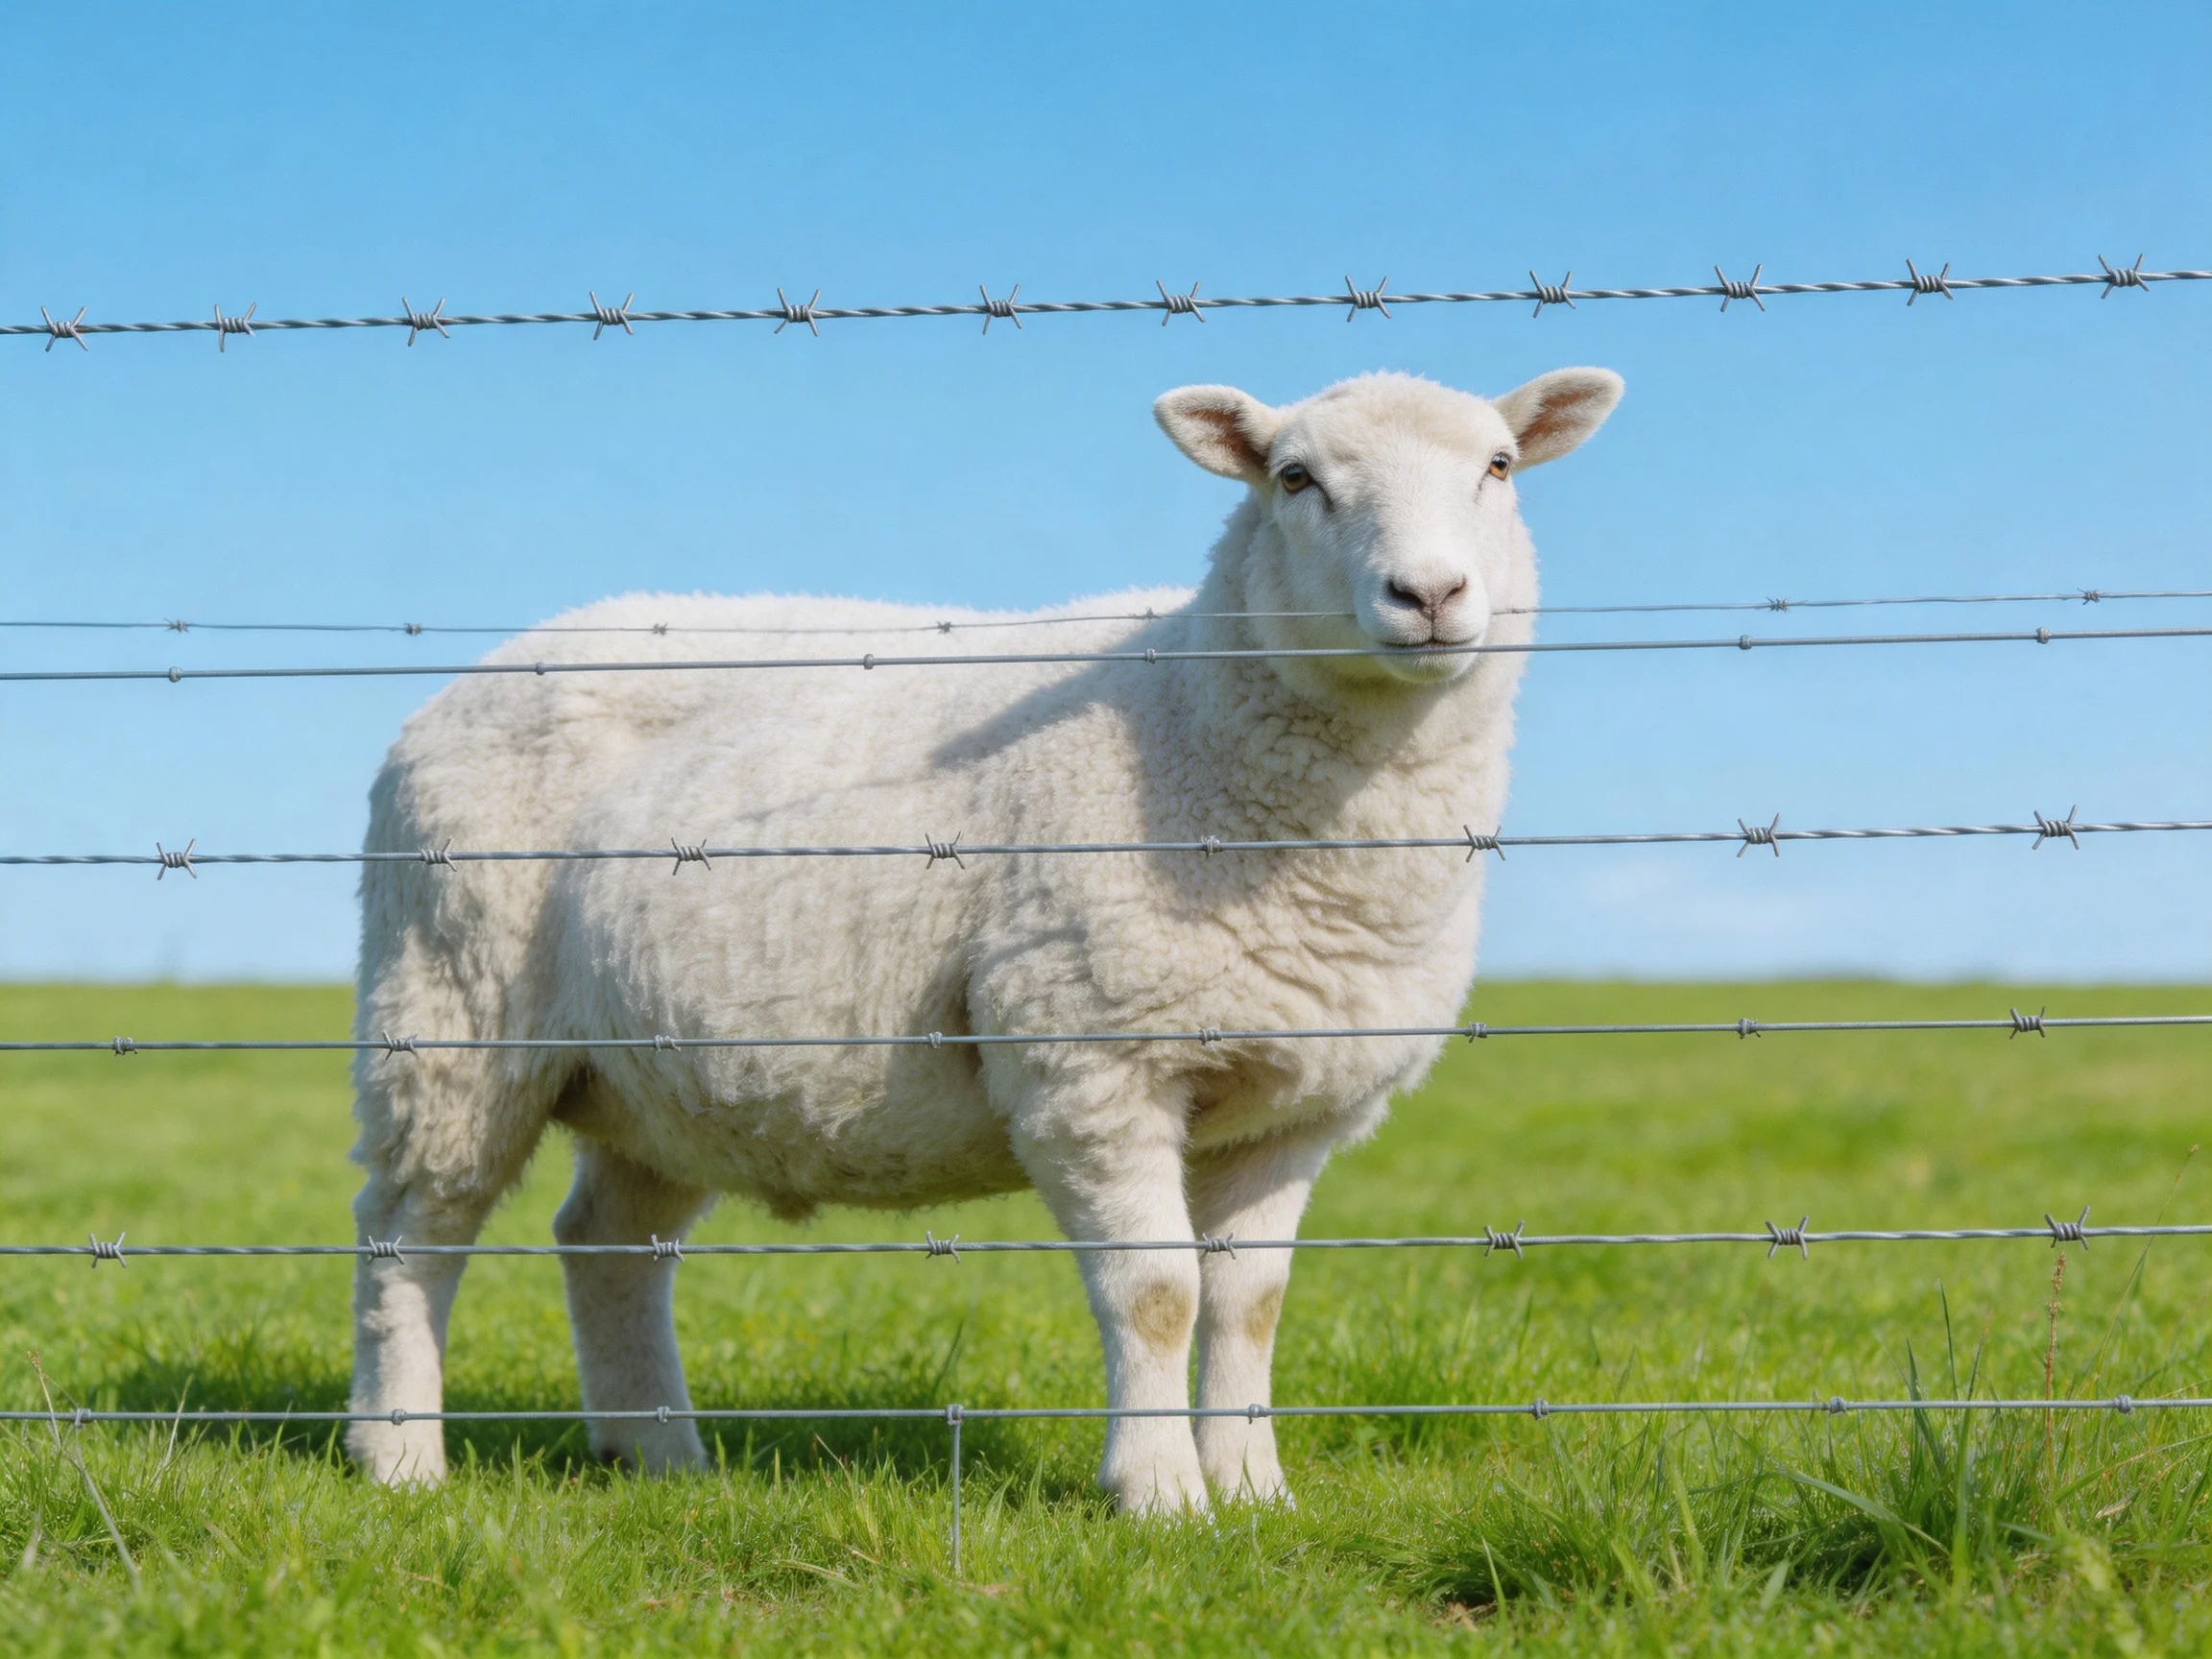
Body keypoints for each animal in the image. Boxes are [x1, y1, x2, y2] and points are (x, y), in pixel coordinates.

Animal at [346, 367, 1623, 1512]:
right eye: (1297, 479)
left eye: (1497, 469)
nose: (1430, 593)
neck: (1193, 723)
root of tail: (468, 679)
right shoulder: (1091, 1059)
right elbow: (1158, 1291)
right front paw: (1162, 1495)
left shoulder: (1298, 1101)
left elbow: (1250, 1301)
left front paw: (1257, 1493)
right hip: (450, 1011)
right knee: (413, 1235)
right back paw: (400, 1457)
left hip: (655, 1074)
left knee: (606, 1241)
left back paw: (657, 1453)